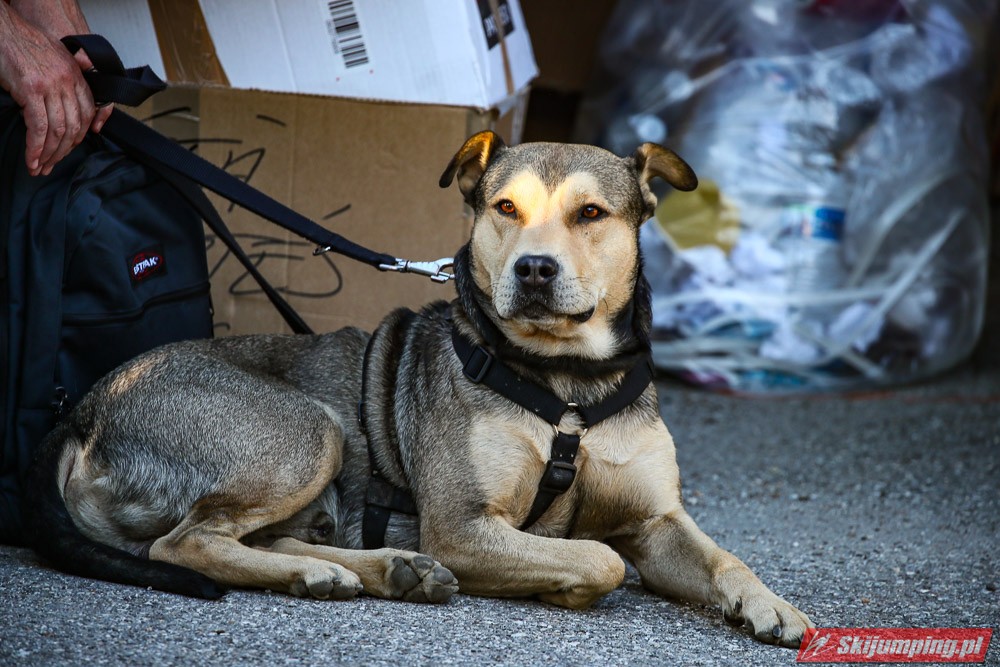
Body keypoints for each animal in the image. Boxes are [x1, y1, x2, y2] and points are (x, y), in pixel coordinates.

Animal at [24, 131, 812, 647]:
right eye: (503, 207)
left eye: (592, 213)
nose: (533, 270)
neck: (569, 387)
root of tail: (85, 410)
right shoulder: (464, 526)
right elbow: (600, 559)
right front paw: (555, 584)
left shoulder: (657, 520)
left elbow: (723, 557)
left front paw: (772, 605)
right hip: (307, 430)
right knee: (184, 543)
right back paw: (339, 571)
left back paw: (371, 570)